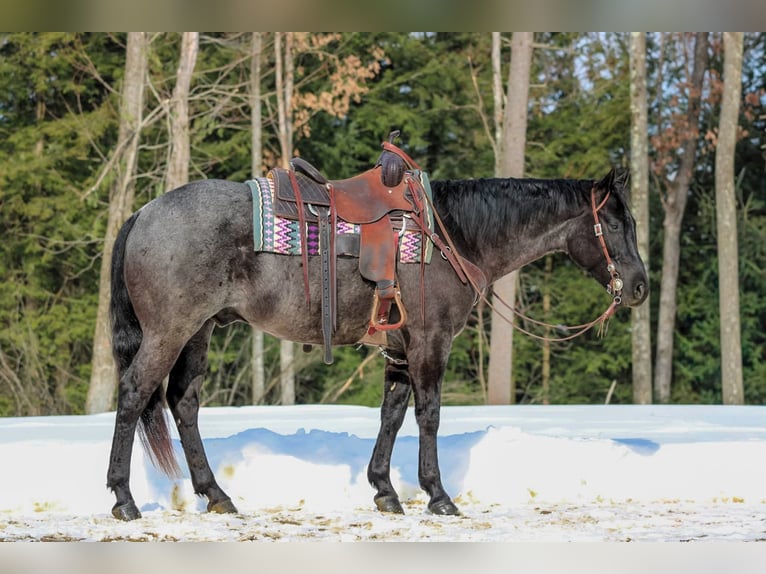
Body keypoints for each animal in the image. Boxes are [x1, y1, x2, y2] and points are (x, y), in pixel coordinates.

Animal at [105, 167, 648, 520]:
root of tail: (143, 213)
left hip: (199, 331)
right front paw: (438, 495)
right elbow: (428, 415)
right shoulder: (430, 342)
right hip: (169, 331)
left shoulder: (401, 349)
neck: (452, 235)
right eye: (614, 223)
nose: (640, 286)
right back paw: (124, 499)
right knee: (133, 394)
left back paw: (216, 495)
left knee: (184, 402)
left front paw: (385, 490)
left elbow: (392, 413)